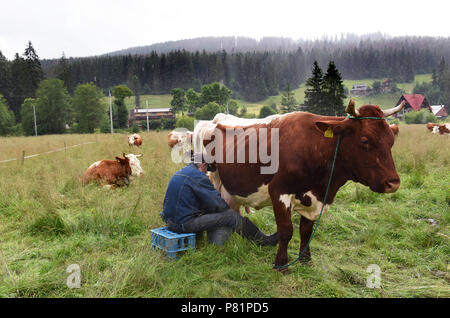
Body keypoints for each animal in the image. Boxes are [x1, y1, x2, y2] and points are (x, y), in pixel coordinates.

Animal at [195, 100, 406, 270]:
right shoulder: (279, 192)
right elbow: (286, 231)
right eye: (365, 140)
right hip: (211, 178)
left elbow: (306, 230)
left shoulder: (313, 198)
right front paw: (281, 264)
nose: (393, 183)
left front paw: (306, 260)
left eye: (391, 140)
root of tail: (217, 118)